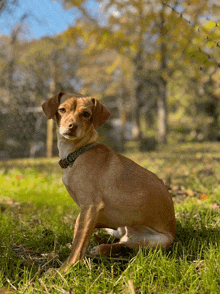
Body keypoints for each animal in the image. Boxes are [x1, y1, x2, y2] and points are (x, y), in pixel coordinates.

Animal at [41, 92, 175, 274]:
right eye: (62, 109)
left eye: (86, 114)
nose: (72, 126)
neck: (77, 153)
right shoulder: (86, 213)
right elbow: (77, 236)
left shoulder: (90, 207)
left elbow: (78, 247)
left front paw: (63, 270)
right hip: (116, 228)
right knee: (123, 242)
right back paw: (102, 248)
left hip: (159, 240)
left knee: (128, 246)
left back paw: (103, 249)